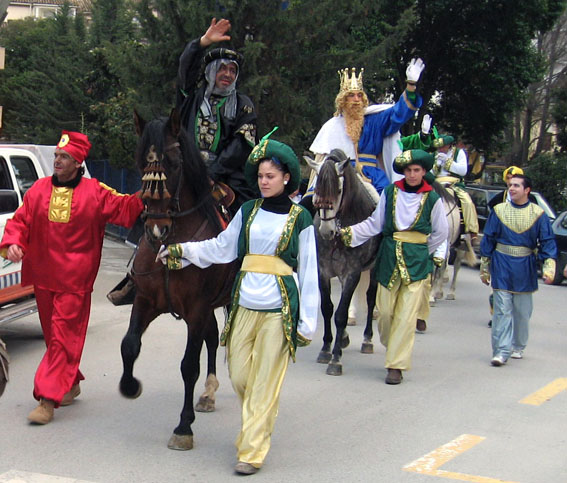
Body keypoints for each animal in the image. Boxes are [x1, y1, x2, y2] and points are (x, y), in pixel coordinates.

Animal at [120, 108, 235, 450]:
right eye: (141, 161)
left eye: (172, 163)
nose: (156, 229)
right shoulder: (146, 300)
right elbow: (129, 345)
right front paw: (130, 386)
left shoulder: (196, 309)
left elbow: (188, 366)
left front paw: (184, 426)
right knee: (212, 337)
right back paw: (209, 393)